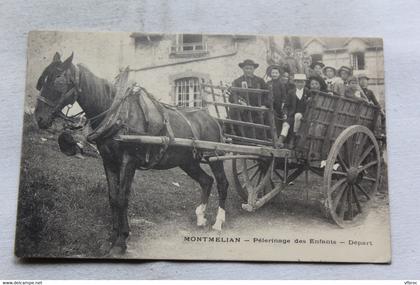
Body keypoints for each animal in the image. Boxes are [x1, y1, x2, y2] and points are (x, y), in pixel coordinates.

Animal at [34, 52, 228, 254]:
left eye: (58, 81)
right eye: (42, 81)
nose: (39, 118)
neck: (116, 114)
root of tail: (212, 118)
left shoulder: (129, 161)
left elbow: (122, 198)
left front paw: (121, 240)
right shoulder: (109, 161)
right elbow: (112, 197)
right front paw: (112, 237)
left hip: (215, 157)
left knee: (222, 183)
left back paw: (218, 223)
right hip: (187, 161)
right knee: (206, 181)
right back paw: (200, 217)